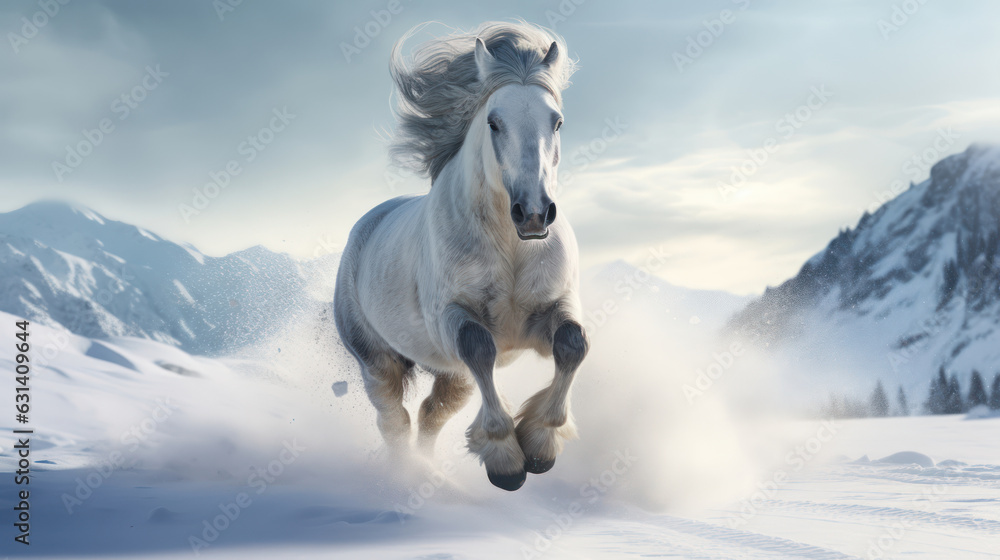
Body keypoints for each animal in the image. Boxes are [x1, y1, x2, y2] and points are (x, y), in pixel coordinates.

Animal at [336, 21, 584, 490]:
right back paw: (403, 476)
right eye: (494, 122)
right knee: (394, 420)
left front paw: (540, 445)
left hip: (453, 376)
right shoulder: (453, 318)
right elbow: (479, 348)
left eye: (558, 122)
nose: (534, 212)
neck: (512, 245)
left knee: (431, 415)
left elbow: (573, 345)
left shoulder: (554, 308)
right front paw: (506, 460)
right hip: (377, 362)